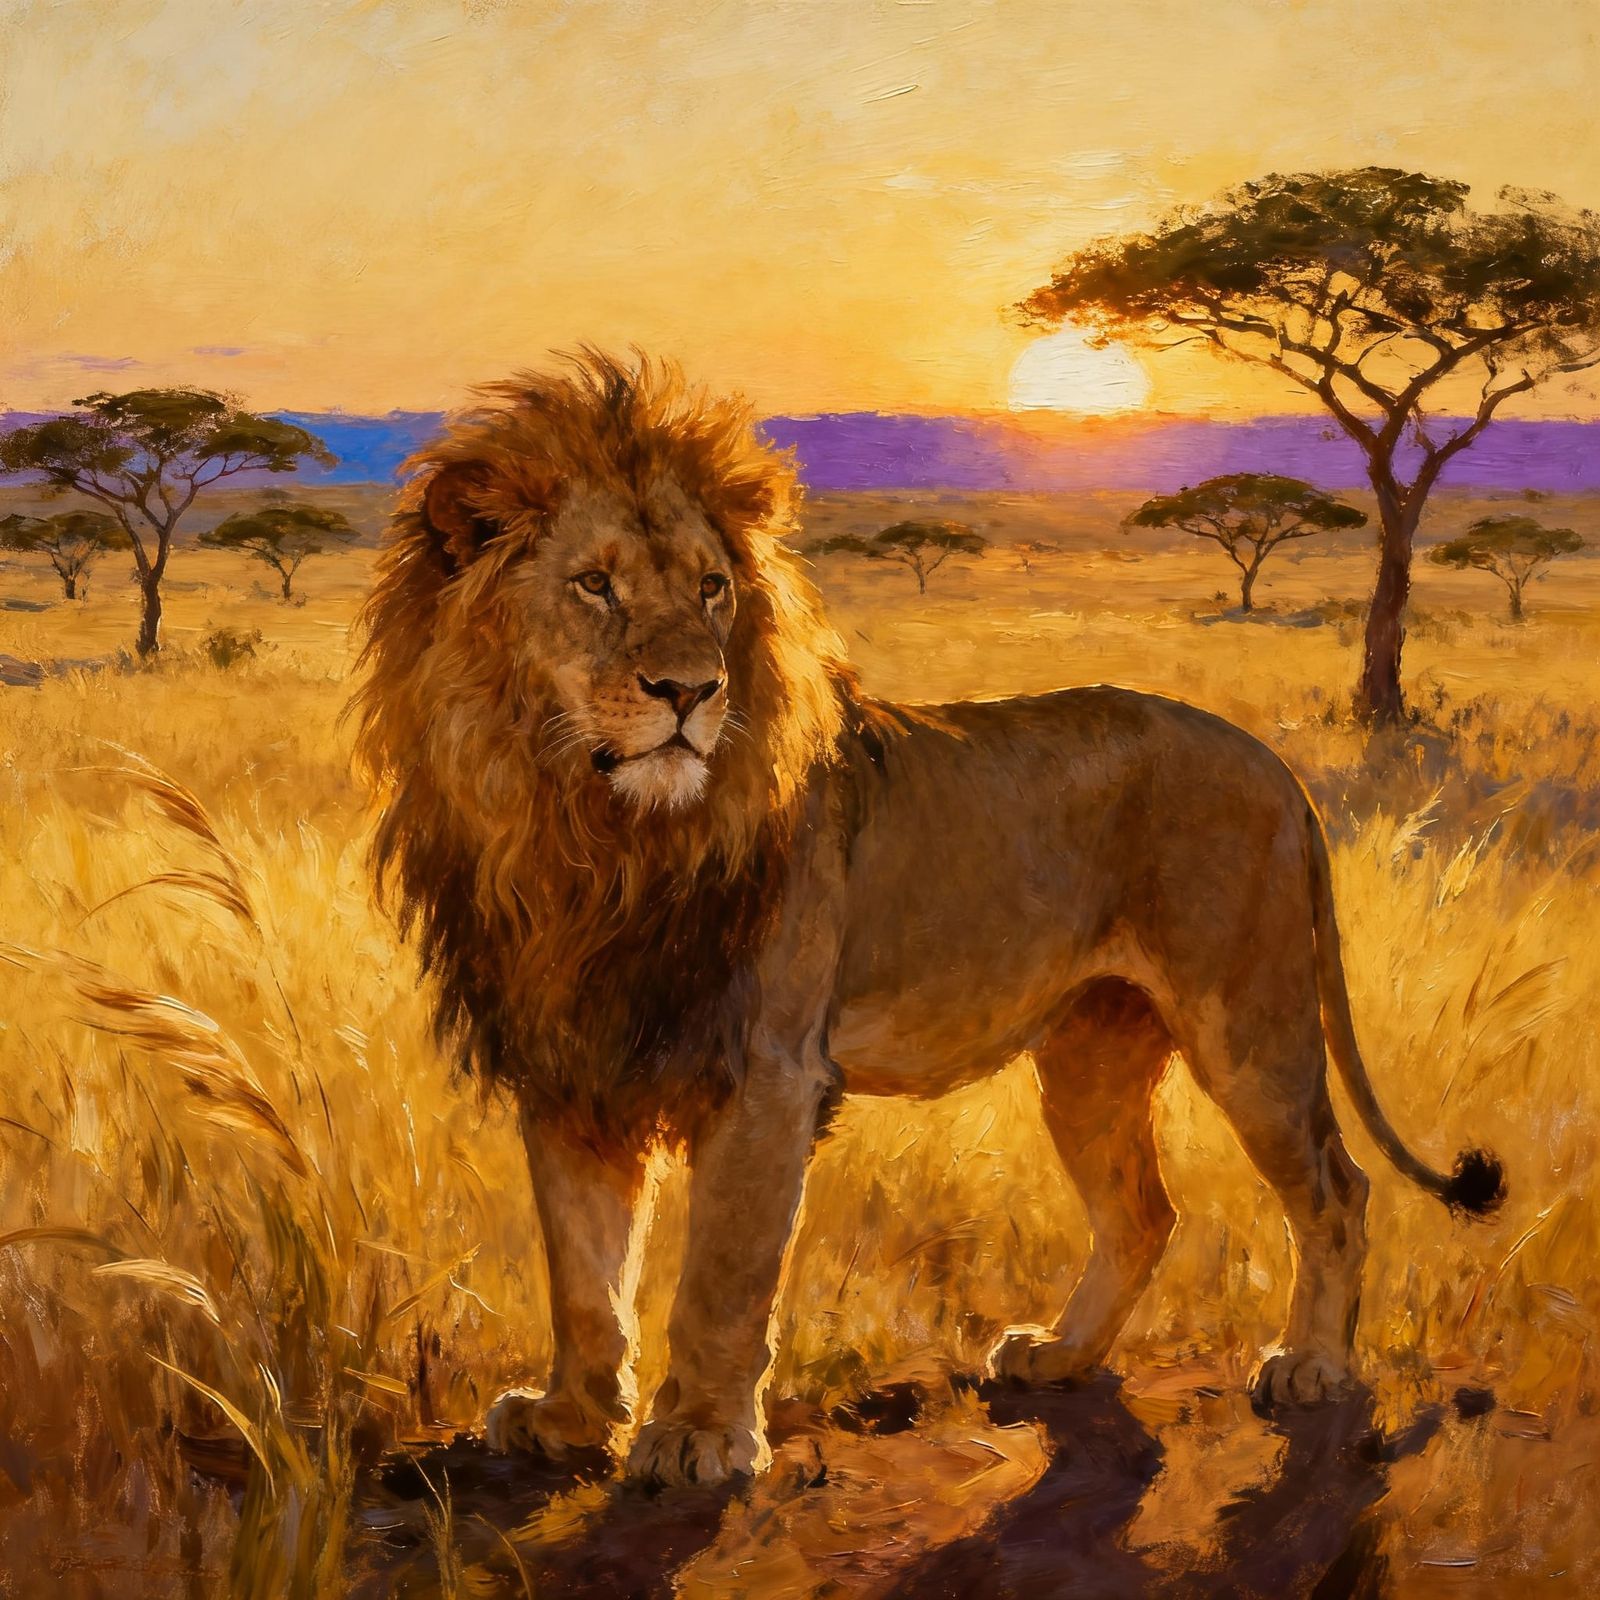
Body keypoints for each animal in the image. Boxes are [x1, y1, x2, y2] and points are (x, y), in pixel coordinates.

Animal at [354, 351, 1504, 1490]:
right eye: (594, 585)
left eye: (712, 589)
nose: (692, 689)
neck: (592, 839)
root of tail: (1273, 764)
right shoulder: (569, 1067)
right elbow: (584, 1273)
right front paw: (570, 1420)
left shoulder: (767, 1071)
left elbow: (722, 1274)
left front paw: (699, 1438)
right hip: (1091, 1052)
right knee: (1143, 1213)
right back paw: (1060, 1355)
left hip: (1249, 1025)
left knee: (1336, 1187)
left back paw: (1312, 1366)